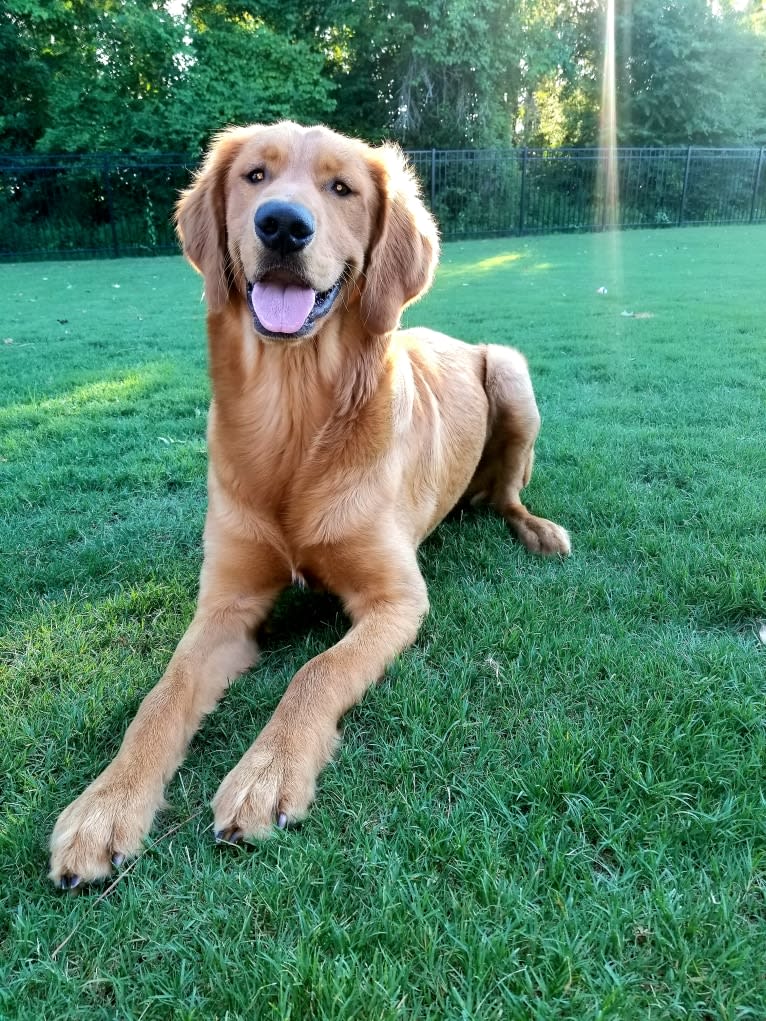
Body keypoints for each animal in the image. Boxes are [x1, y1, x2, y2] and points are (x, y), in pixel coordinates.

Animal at [49, 117, 571, 886]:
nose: (283, 225)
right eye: (255, 177)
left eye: (341, 188)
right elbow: (161, 695)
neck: (293, 420)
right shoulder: (226, 602)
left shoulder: (396, 599)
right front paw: (103, 805)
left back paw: (538, 531)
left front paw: (267, 773)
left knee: (507, 497)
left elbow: (315, 672)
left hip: (510, 371)